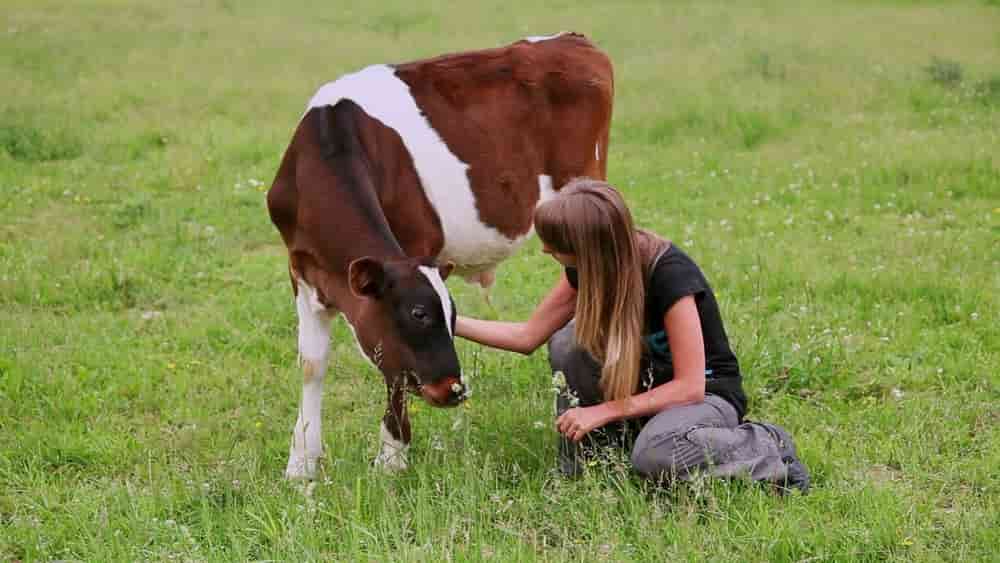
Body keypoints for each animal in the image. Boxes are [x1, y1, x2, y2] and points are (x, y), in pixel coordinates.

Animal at [268, 32, 608, 480]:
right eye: (419, 313)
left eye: (451, 314)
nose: (455, 389)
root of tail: (571, 39)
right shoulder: (302, 270)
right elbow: (312, 363)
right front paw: (302, 464)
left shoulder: (418, 245)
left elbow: (393, 372)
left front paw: (392, 457)